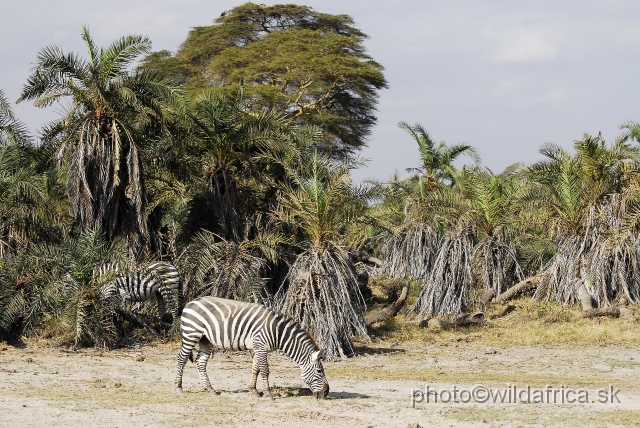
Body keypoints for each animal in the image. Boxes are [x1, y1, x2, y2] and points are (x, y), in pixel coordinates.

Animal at [175, 296, 330, 400]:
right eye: (319, 370)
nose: (326, 392)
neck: (278, 332)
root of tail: (191, 302)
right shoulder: (261, 346)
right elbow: (265, 370)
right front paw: (268, 394)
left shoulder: (257, 348)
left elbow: (256, 369)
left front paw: (253, 391)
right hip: (191, 334)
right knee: (182, 358)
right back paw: (178, 387)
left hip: (205, 339)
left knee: (201, 362)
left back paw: (210, 389)